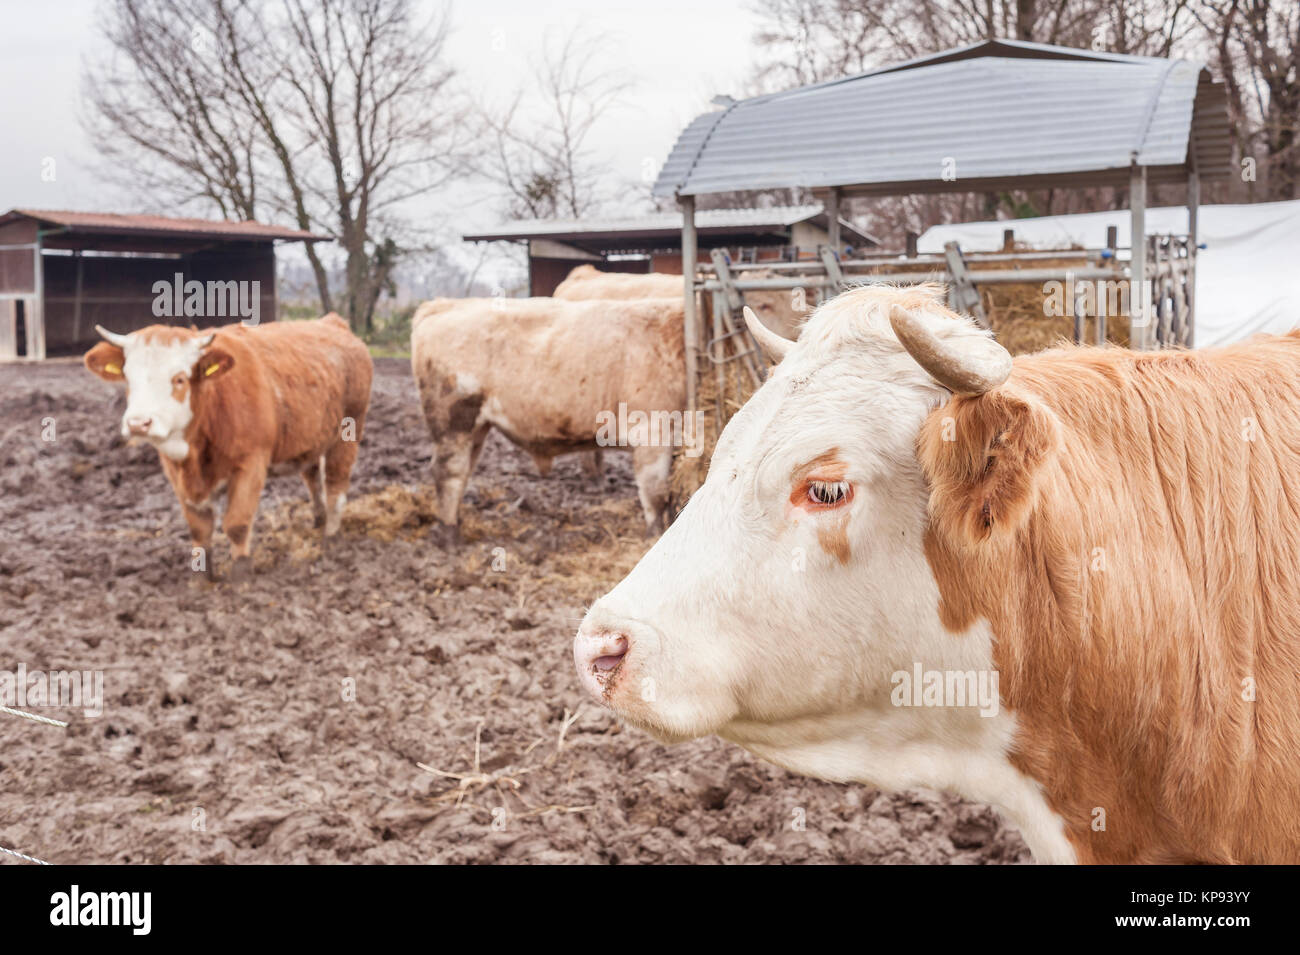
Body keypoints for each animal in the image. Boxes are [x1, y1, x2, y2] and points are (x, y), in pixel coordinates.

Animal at [84, 315, 373, 577]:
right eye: (128, 378)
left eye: (179, 379)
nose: (138, 423)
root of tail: (332, 322)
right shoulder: (177, 473)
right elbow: (199, 528)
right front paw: (203, 577)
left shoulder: (251, 463)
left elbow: (237, 523)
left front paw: (241, 574)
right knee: (312, 478)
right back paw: (318, 520)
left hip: (349, 432)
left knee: (335, 487)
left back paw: (331, 537)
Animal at [411, 296, 688, 535]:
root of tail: (443, 304)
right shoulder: (652, 433)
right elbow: (656, 495)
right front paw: (656, 536)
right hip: (454, 421)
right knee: (449, 471)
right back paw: (448, 532)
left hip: (476, 429)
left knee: (465, 469)